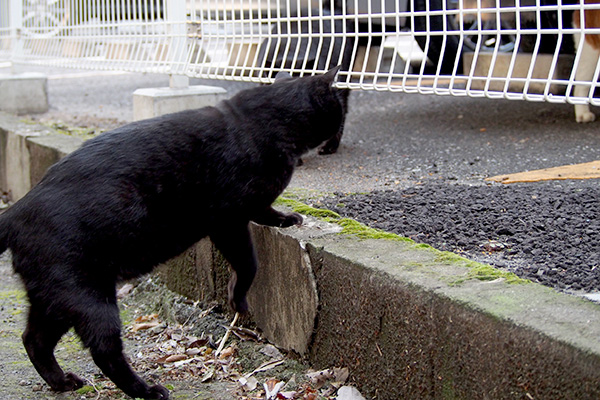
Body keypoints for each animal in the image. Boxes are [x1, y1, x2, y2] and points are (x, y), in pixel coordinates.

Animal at [0, 67, 344, 398]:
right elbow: (249, 263)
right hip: (88, 297)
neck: (260, 122)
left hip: (53, 301)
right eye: (339, 105)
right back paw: (146, 390)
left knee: (33, 339)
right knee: (104, 352)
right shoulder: (228, 220)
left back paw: (62, 382)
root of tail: (16, 211)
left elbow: (265, 212)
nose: (341, 124)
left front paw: (285, 219)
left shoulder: (248, 209)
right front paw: (238, 299)